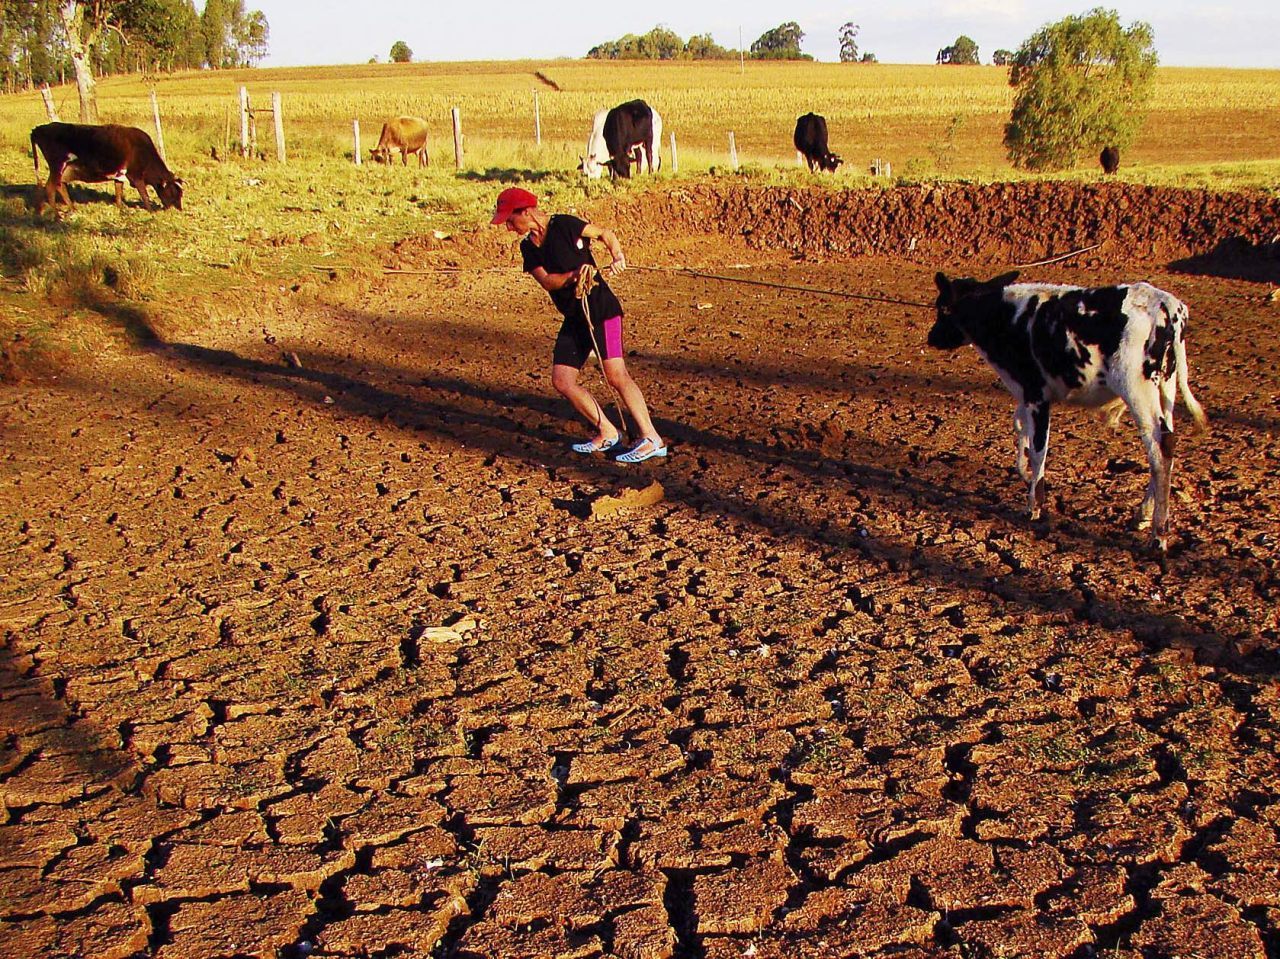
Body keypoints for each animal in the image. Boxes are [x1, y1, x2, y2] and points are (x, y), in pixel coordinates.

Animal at [32, 121, 183, 215]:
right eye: (174, 192)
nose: (179, 209)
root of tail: (39, 128)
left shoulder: (120, 175)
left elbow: (118, 191)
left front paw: (120, 208)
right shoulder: (136, 175)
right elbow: (144, 194)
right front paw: (151, 210)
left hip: (64, 170)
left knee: (60, 186)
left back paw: (72, 208)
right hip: (57, 165)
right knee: (50, 187)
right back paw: (56, 215)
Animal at [926, 272, 1203, 550]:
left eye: (943, 307)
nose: (931, 337)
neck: (1008, 317)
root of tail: (1166, 304)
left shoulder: (1036, 393)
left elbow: (1038, 448)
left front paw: (1034, 505)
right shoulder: (1026, 394)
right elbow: (1021, 430)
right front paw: (1026, 477)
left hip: (1138, 390)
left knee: (1159, 447)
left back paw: (1159, 535)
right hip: (1165, 389)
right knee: (1167, 444)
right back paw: (1143, 516)